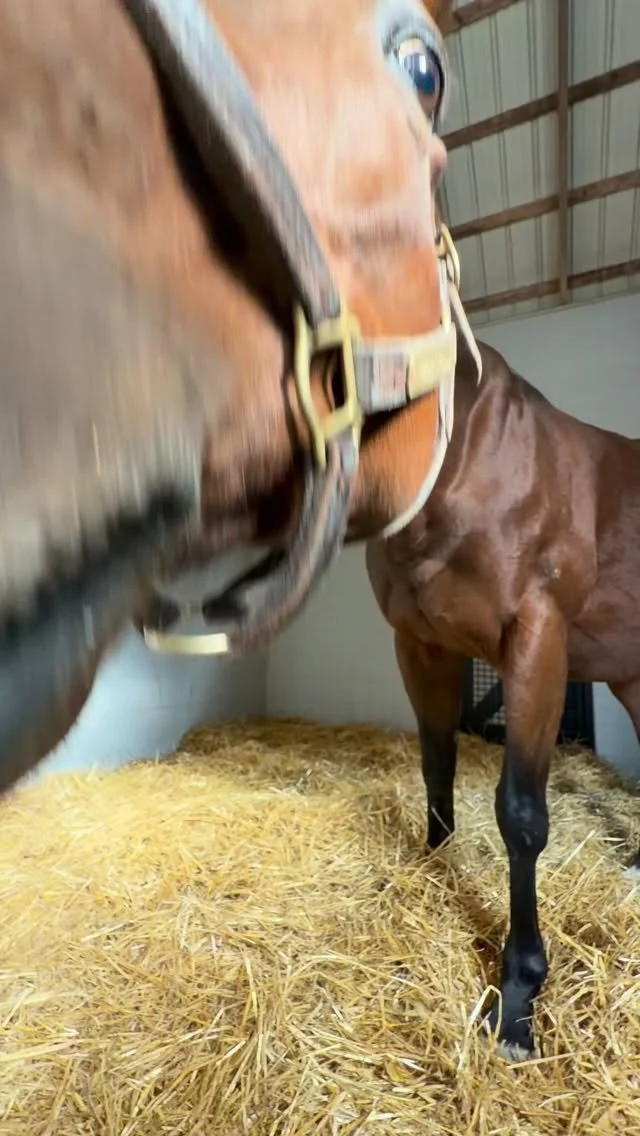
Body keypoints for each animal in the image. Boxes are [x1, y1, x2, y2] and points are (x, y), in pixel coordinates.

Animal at [365, 333, 640, 1061]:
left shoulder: (538, 646)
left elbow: (521, 815)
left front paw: (518, 996)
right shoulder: (420, 646)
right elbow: (437, 766)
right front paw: (433, 868)